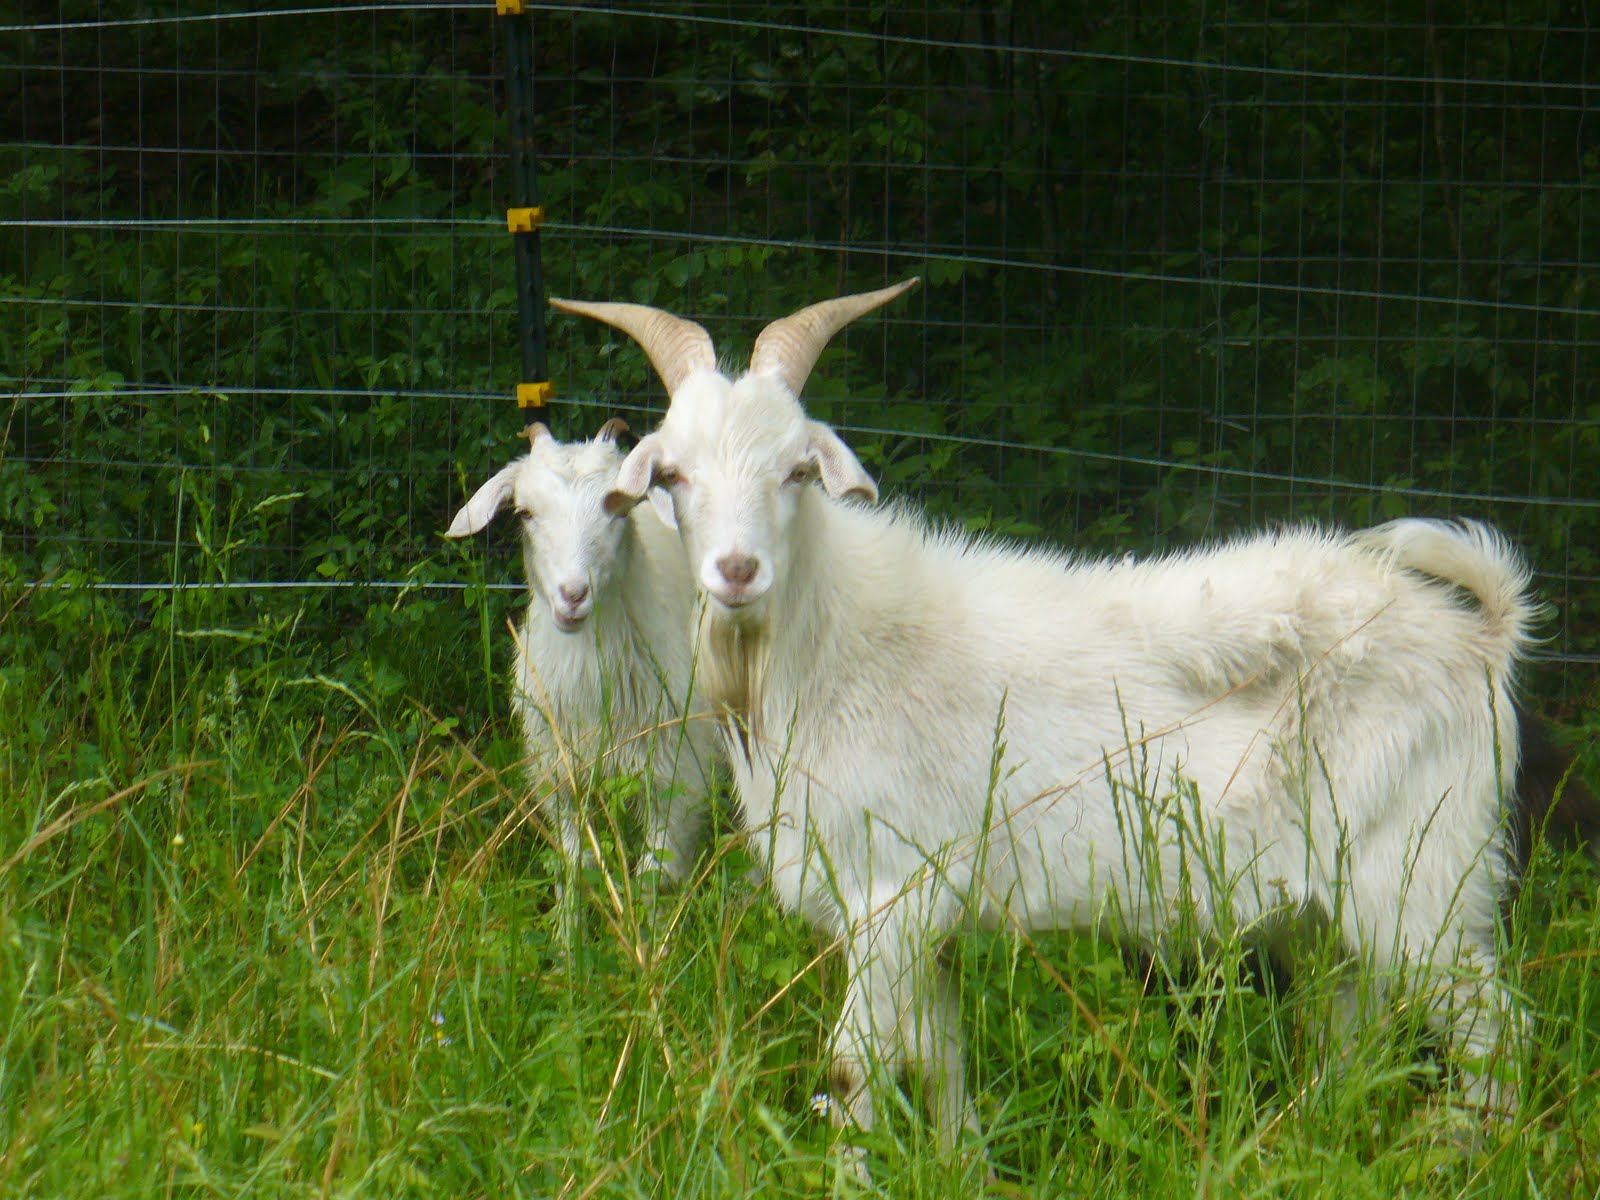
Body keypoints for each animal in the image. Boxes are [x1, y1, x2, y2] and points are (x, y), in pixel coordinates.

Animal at [446, 419, 719, 884]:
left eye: (621, 510)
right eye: (524, 512)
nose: (572, 595)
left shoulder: (677, 765)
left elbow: (657, 867)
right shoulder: (559, 766)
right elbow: (576, 854)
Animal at [552, 283, 1539, 1151]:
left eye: (797, 469)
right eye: (672, 474)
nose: (737, 571)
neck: (832, 647)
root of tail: (1480, 637)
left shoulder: (892, 896)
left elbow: (853, 1071)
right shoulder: (930, 920)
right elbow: (940, 1064)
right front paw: (962, 1164)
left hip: (1424, 879)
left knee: (1494, 1036)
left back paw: (1464, 1151)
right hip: (1341, 910)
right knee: (1352, 1034)